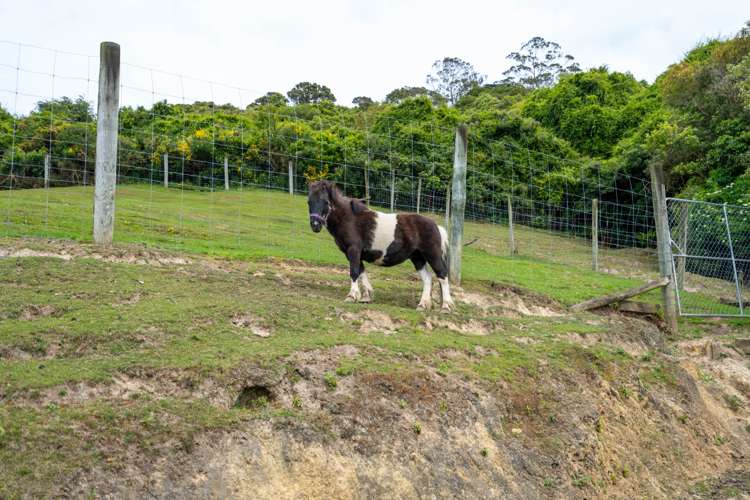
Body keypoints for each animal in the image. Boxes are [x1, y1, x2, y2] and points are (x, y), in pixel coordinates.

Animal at [308, 180, 456, 310]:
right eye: (309, 202)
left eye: (325, 202)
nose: (315, 225)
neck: (348, 219)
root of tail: (436, 226)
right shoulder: (353, 253)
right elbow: (361, 271)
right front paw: (366, 296)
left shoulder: (353, 250)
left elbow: (354, 272)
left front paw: (352, 296)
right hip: (417, 258)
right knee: (427, 279)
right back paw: (423, 305)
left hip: (432, 255)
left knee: (442, 275)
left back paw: (446, 306)